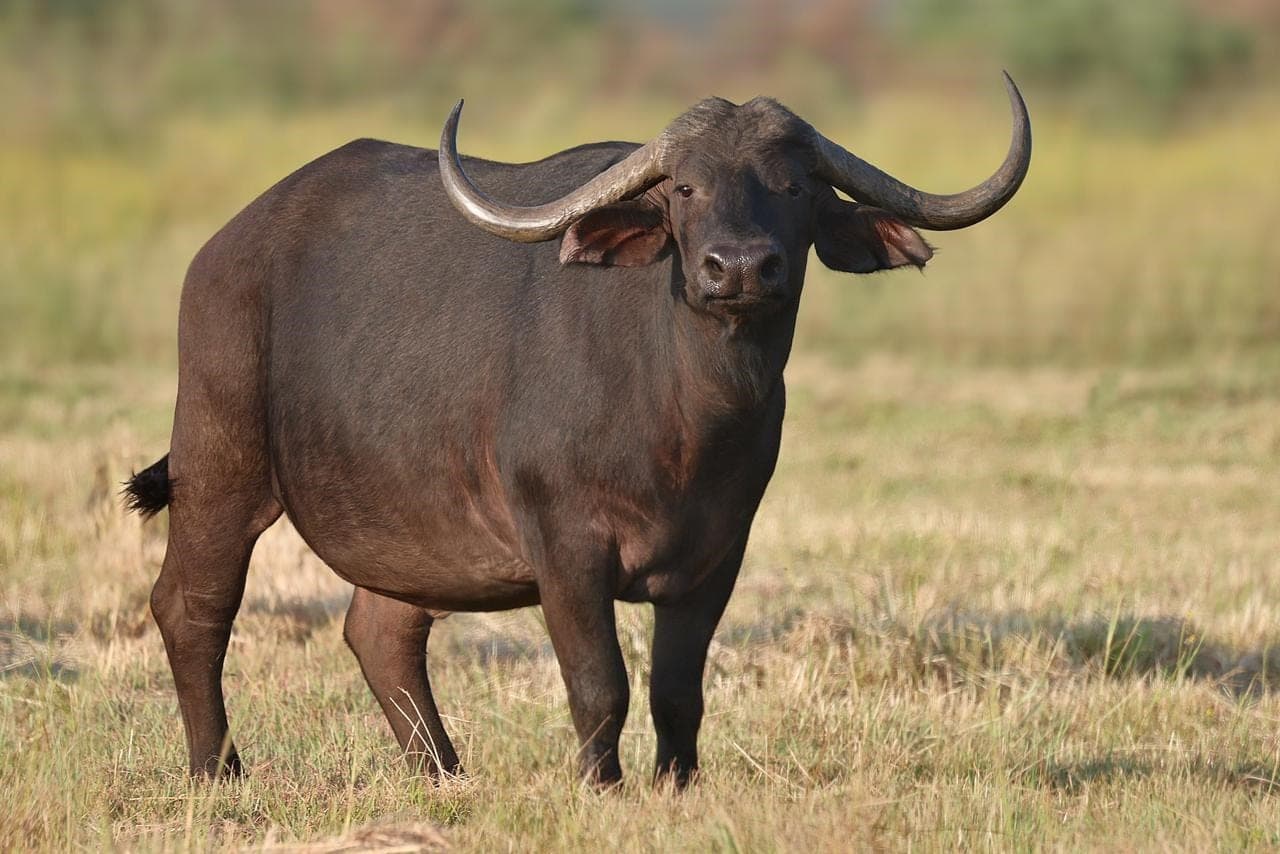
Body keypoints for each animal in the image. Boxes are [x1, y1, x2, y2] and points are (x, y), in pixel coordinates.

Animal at [125, 74, 1030, 788]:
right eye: (684, 189)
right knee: (192, 607)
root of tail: (224, 251)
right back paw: (219, 771)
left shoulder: (719, 553)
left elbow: (676, 690)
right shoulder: (563, 543)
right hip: (219, 463)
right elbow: (600, 684)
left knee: (381, 633)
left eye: (795, 187)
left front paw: (676, 785)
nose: (738, 269)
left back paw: (443, 773)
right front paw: (604, 787)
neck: (681, 420)